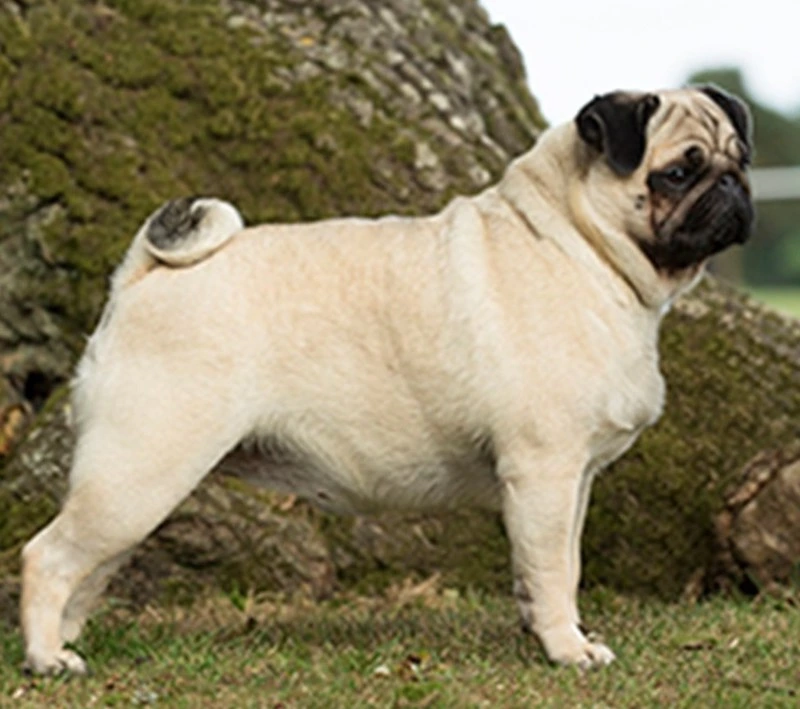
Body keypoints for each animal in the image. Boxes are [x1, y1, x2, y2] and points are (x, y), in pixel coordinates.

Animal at [20, 85, 756, 672]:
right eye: (678, 172)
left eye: (739, 160)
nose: (733, 187)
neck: (578, 245)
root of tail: (142, 275)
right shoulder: (544, 469)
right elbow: (553, 569)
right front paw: (567, 650)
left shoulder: (572, 481)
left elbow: (555, 566)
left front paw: (547, 634)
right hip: (141, 470)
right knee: (46, 556)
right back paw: (45, 658)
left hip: (137, 485)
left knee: (88, 569)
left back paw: (68, 642)